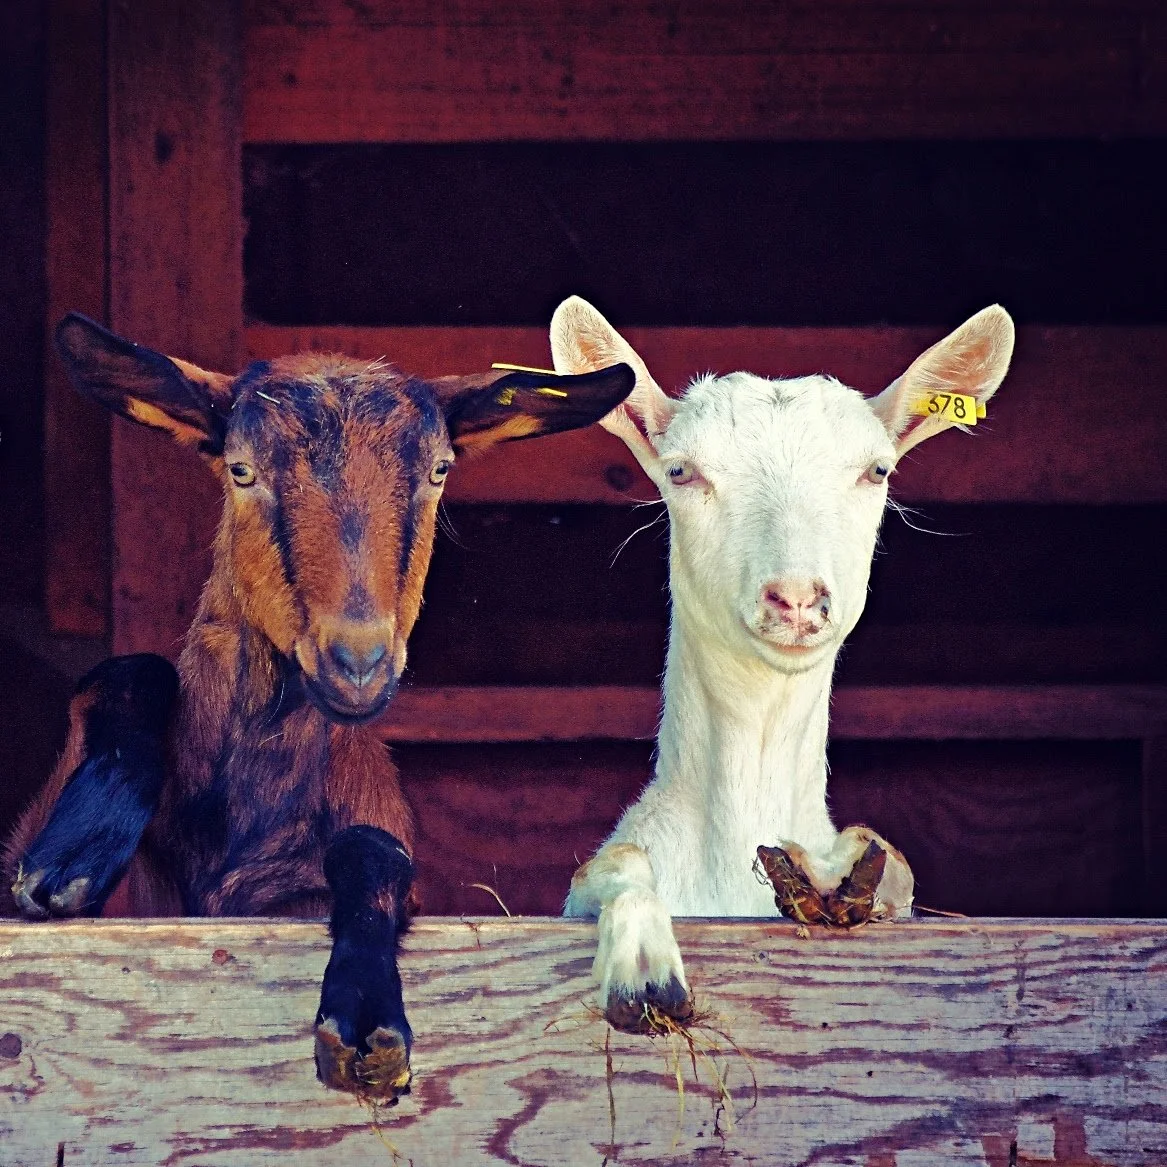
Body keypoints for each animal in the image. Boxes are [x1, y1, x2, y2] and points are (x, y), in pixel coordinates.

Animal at [4, 313, 634, 1095]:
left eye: (439, 470)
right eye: (240, 469)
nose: (357, 663)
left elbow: (374, 850)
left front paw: (365, 1017)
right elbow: (129, 671)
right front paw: (74, 855)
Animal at [551, 297, 1014, 1027]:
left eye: (877, 471)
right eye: (680, 471)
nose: (795, 597)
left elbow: (889, 860)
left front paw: (829, 873)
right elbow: (616, 862)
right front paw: (644, 970)